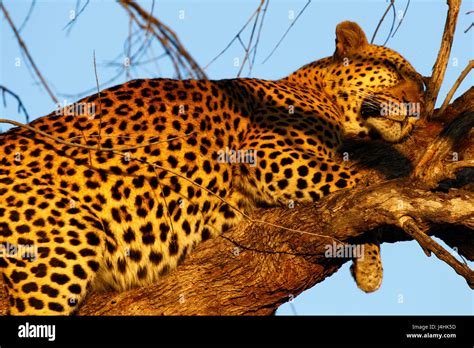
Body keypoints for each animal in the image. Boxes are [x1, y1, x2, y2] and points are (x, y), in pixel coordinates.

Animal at [0, 21, 424, 316]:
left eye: (419, 83)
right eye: (394, 69)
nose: (420, 101)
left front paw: (367, 266)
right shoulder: (267, 153)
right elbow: (363, 187)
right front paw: (372, 266)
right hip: (66, 242)